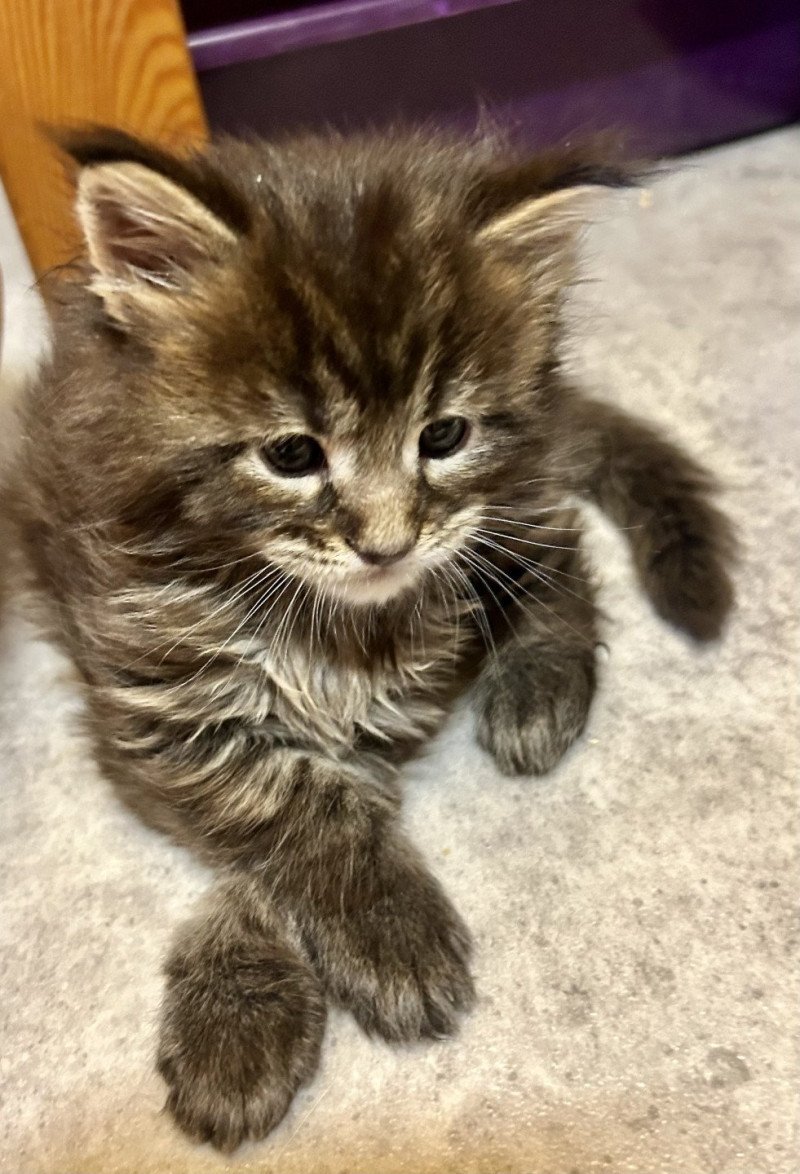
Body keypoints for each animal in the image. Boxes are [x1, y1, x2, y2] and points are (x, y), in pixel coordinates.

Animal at [12, 123, 733, 1150]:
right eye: (291, 454)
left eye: (444, 435)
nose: (386, 544)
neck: (307, 610)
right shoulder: (151, 701)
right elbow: (291, 809)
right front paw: (274, 994)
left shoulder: (406, 685)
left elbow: (320, 800)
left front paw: (328, 962)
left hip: (509, 498)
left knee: (556, 543)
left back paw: (538, 687)